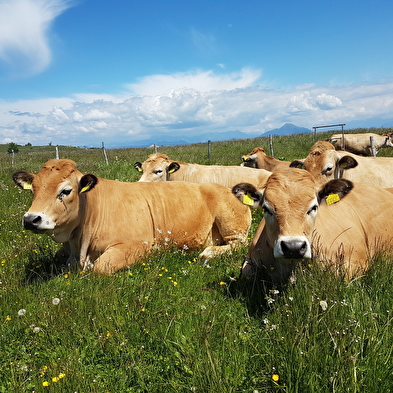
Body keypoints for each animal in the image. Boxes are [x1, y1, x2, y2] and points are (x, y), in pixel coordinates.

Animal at [13, 158, 251, 274]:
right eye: (34, 190)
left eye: (66, 190)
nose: (31, 219)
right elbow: (57, 258)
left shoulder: (135, 246)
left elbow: (101, 268)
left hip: (231, 226)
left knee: (237, 244)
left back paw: (209, 251)